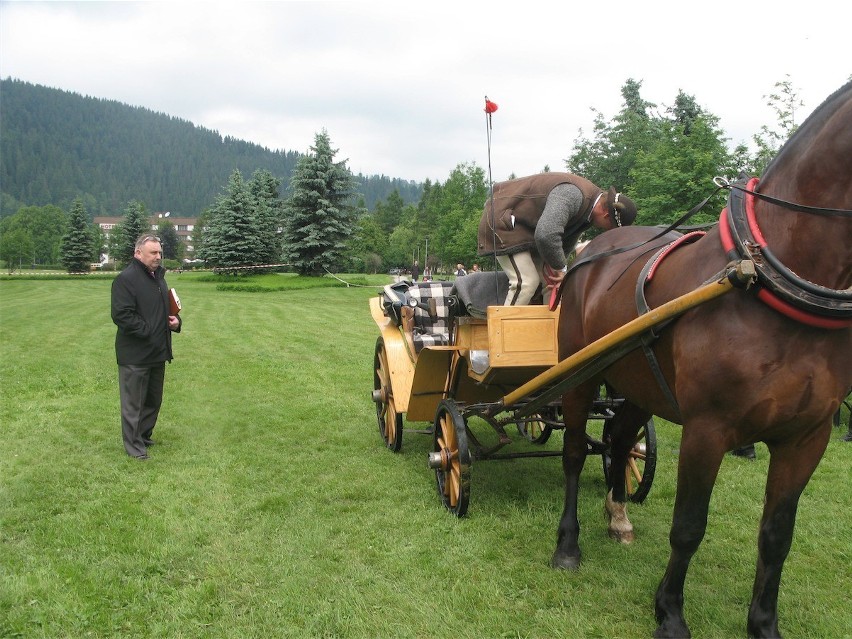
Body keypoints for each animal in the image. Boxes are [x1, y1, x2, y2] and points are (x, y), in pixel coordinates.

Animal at [552, 81, 852, 639]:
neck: (763, 276)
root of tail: (589, 252)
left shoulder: (808, 436)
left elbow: (777, 535)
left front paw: (763, 623)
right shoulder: (707, 429)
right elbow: (688, 527)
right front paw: (669, 613)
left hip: (640, 382)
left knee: (620, 440)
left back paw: (618, 515)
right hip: (580, 375)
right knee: (575, 453)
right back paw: (567, 545)